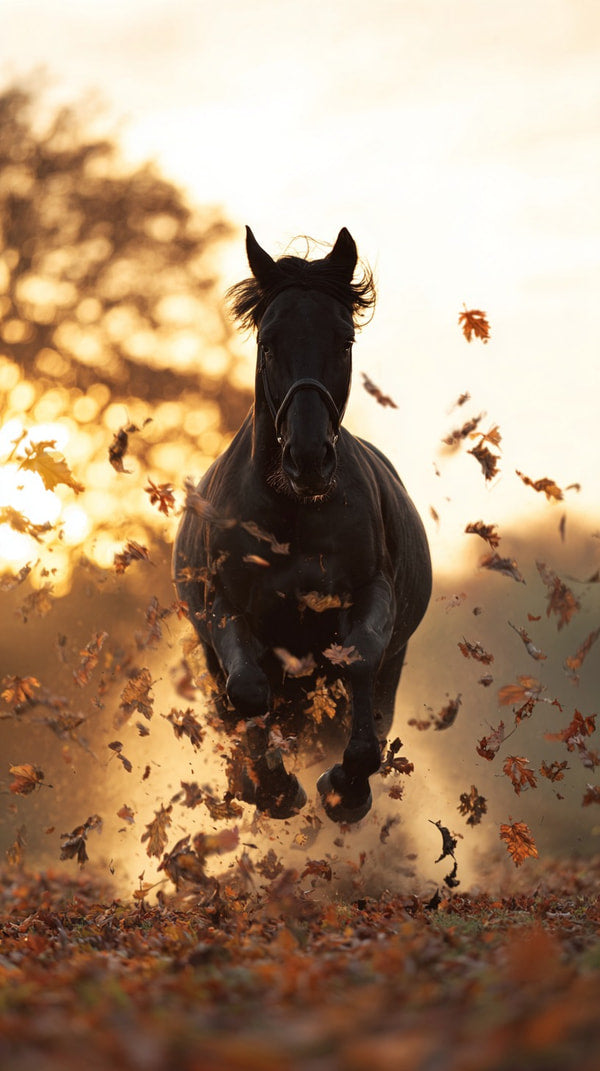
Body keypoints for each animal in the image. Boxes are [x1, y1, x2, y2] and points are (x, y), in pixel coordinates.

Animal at [173, 227, 432, 824]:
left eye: (345, 342)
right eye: (268, 343)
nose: (309, 459)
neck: (291, 513)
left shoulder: (369, 590)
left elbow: (357, 663)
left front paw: (346, 786)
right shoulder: (225, 606)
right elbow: (247, 689)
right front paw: (272, 786)